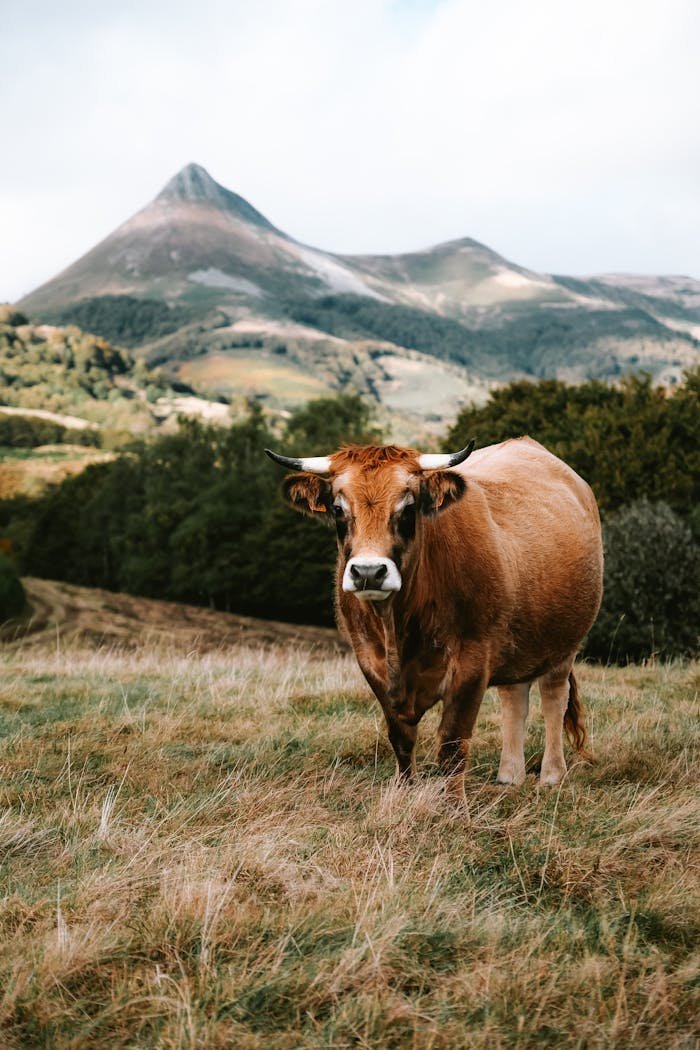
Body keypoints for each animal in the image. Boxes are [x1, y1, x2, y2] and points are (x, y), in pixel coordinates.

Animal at [265, 438, 604, 797]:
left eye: (408, 508)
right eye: (338, 510)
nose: (368, 573)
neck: (399, 629)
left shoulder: (472, 662)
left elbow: (452, 746)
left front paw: (455, 807)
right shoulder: (370, 661)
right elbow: (401, 739)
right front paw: (403, 792)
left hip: (563, 644)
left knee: (553, 698)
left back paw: (552, 775)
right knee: (515, 697)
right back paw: (510, 775)